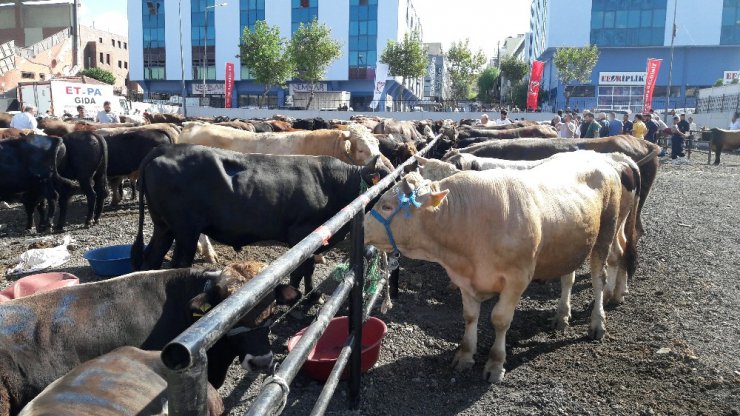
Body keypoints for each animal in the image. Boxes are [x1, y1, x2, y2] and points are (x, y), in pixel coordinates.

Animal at [132, 143, 394, 300]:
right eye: (386, 179)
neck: (333, 183)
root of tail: (168, 148)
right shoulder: (301, 233)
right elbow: (303, 267)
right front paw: (302, 296)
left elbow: (307, 268)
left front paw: (309, 294)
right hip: (186, 230)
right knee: (177, 264)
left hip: (164, 227)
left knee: (151, 260)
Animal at [366, 151, 640, 382]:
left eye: (387, 206)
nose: (362, 227)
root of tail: (605, 158)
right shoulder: (465, 278)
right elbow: (470, 316)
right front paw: (464, 355)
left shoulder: (517, 279)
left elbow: (499, 319)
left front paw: (495, 364)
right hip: (571, 243)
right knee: (567, 278)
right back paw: (562, 315)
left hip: (607, 230)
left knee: (599, 276)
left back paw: (598, 321)